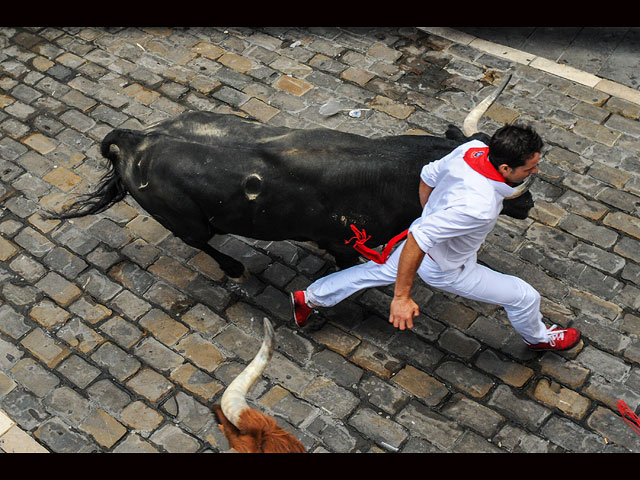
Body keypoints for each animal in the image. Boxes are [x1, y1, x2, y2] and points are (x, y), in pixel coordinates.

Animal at [55, 92, 536, 282]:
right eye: (499, 181)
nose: (529, 202)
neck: (396, 170)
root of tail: (135, 138)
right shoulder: (343, 243)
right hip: (186, 221)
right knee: (201, 242)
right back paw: (234, 268)